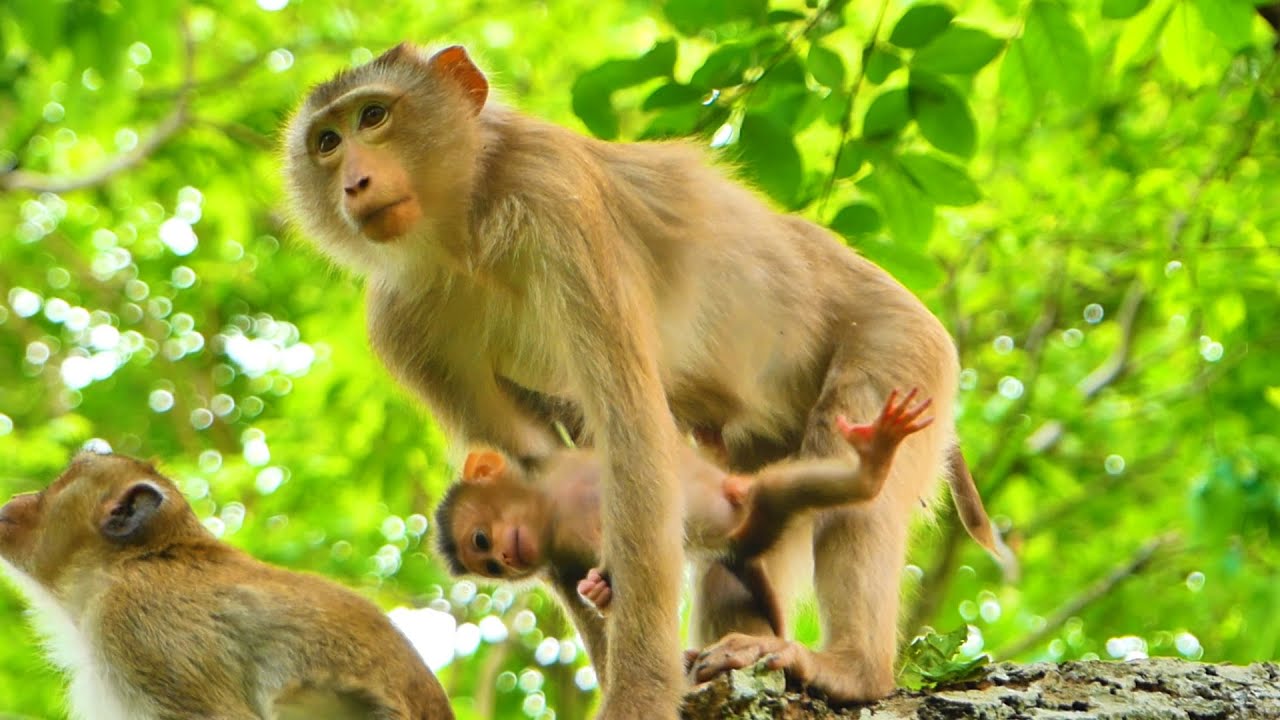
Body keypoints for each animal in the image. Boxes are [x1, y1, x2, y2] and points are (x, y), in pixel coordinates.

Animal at [436, 391, 933, 640]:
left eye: (480, 540)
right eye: (489, 567)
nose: (505, 558)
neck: (554, 503)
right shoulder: (565, 547)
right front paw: (597, 591)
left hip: (743, 506)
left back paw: (872, 462)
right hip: (748, 528)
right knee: (773, 500)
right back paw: (870, 469)